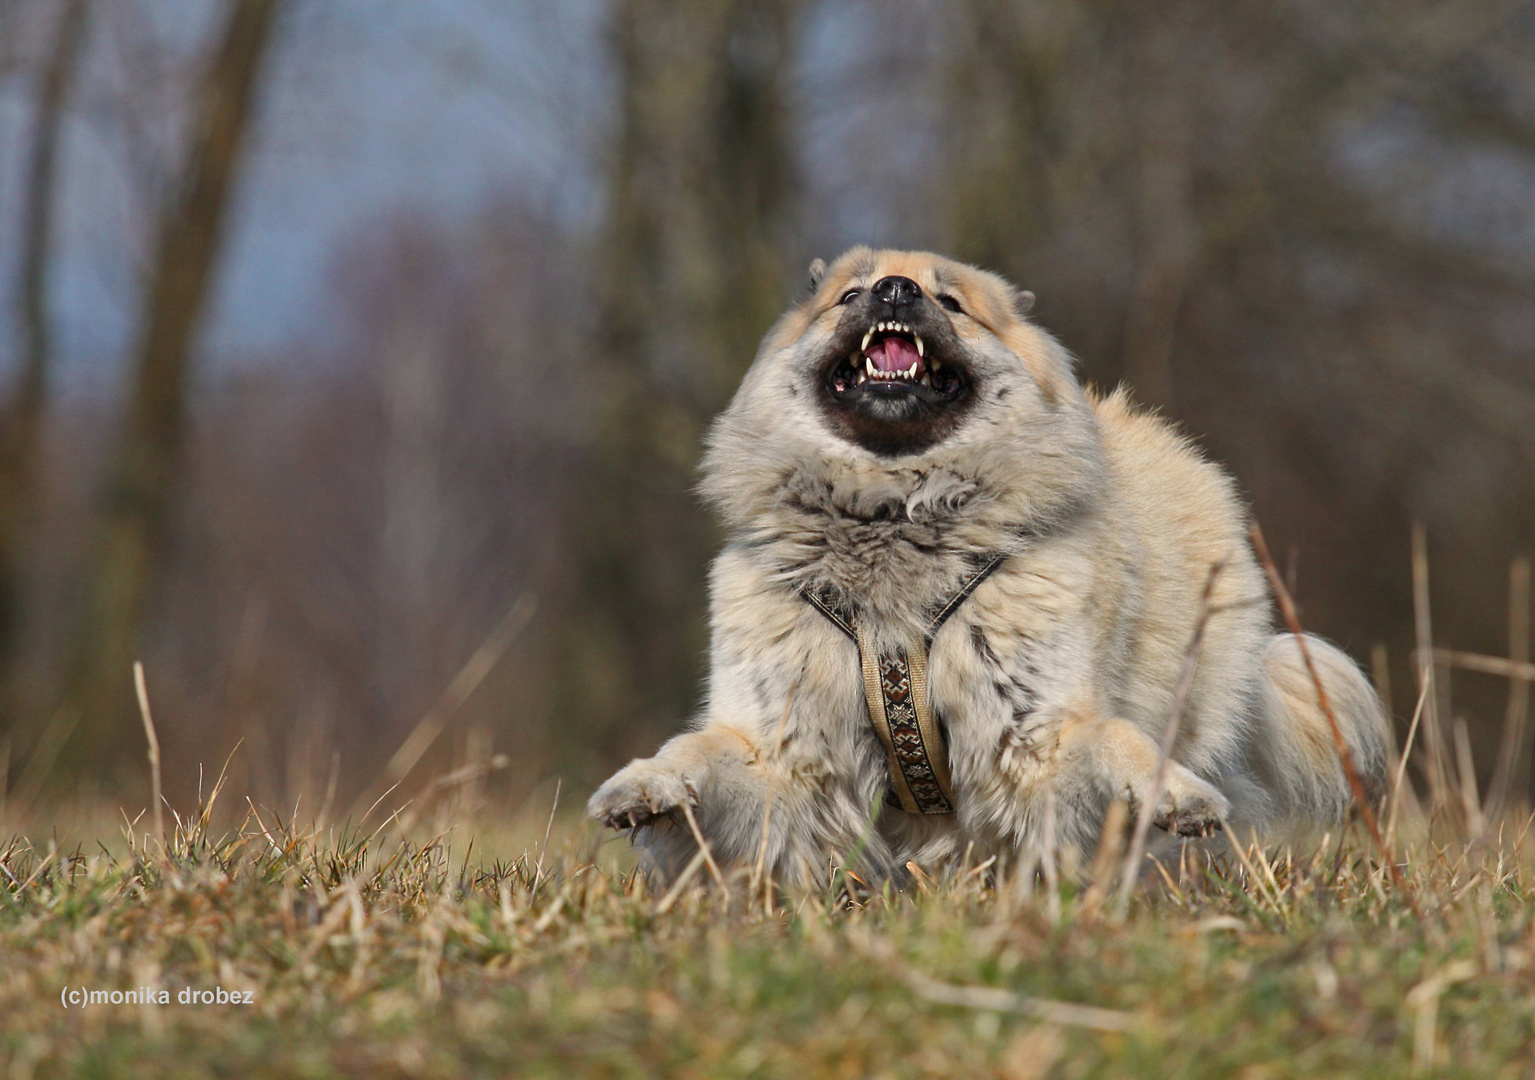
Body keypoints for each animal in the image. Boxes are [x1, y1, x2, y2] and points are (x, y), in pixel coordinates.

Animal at [586, 246, 1393, 883]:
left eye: (949, 301)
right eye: (850, 293)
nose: (895, 291)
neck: (892, 520)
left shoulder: (1037, 735)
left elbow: (1119, 739)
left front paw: (1171, 793)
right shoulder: (781, 751)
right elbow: (696, 750)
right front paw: (643, 785)